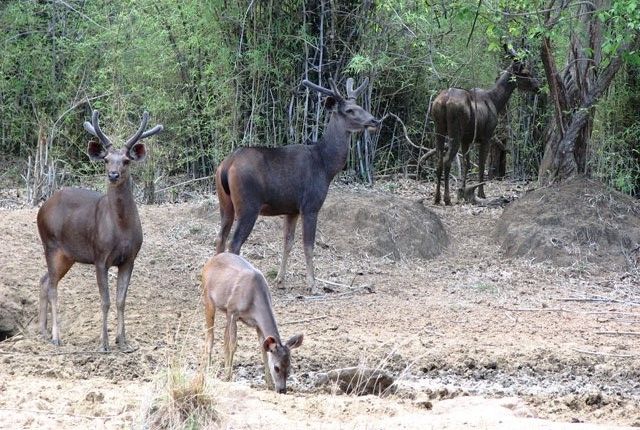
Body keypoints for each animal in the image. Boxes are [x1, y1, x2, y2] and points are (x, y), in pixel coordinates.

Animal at [36, 109, 164, 352]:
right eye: (106, 160)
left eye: (126, 160)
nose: (113, 174)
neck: (121, 229)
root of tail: (42, 208)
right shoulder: (100, 256)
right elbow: (105, 301)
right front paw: (103, 343)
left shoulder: (130, 259)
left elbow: (121, 300)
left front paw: (123, 341)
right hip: (50, 244)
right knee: (53, 286)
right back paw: (56, 336)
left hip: (68, 255)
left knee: (44, 280)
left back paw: (43, 331)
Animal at [205, 252, 304, 394]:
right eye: (277, 367)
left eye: (290, 368)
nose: (282, 390)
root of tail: (210, 261)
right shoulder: (233, 311)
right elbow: (233, 344)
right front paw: (228, 376)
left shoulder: (256, 324)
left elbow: (262, 348)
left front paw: (269, 384)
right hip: (208, 298)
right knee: (211, 335)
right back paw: (208, 369)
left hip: (225, 311)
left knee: (224, 337)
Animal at [215, 77, 380, 294]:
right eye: (350, 110)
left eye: (361, 106)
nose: (375, 121)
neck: (325, 166)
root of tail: (227, 166)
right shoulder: (310, 205)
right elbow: (308, 245)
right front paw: (313, 284)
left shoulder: (291, 209)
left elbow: (288, 242)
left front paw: (280, 279)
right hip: (248, 204)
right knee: (234, 242)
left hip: (225, 203)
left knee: (220, 237)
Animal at [430, 47, 540, 205]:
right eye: (525, 73)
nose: (538, 86)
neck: (496, 101)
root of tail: (443, 101)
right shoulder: (487, 136)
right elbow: (483, 165)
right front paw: (481, 193)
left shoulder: (466, 139)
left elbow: (467, 164)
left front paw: (462, 192)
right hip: (455, 131)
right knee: (446, 160)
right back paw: (447, 198)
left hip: (439, 129)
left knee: (439, 160)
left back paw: (437, 198)